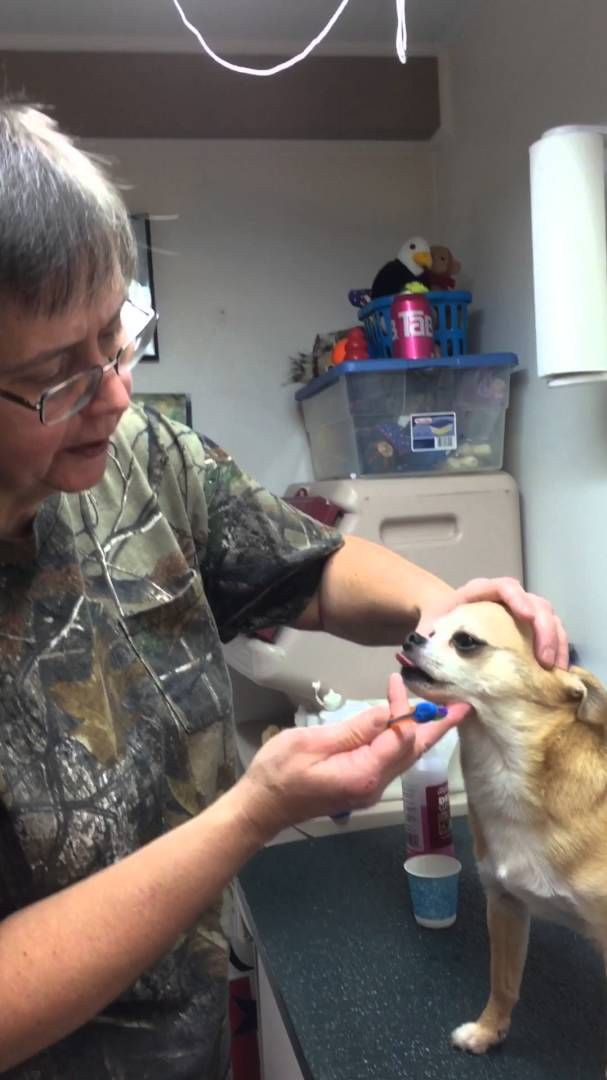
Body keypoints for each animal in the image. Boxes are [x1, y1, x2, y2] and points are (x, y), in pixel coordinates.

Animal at [399, 604, 604, 1058]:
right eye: (431, 632)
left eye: (465, 641)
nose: (410, 637)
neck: (506, 771)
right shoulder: (505, 904)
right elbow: (504, 982)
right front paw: (487, 1031)